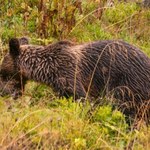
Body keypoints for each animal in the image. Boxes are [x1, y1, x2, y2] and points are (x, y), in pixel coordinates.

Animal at [0, 37, 150, 124]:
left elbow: (83, 100)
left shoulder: (69, 75)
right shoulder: (60, 85)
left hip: (129, 84)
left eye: (2, 73)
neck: (47, 69)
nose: (3, 92)